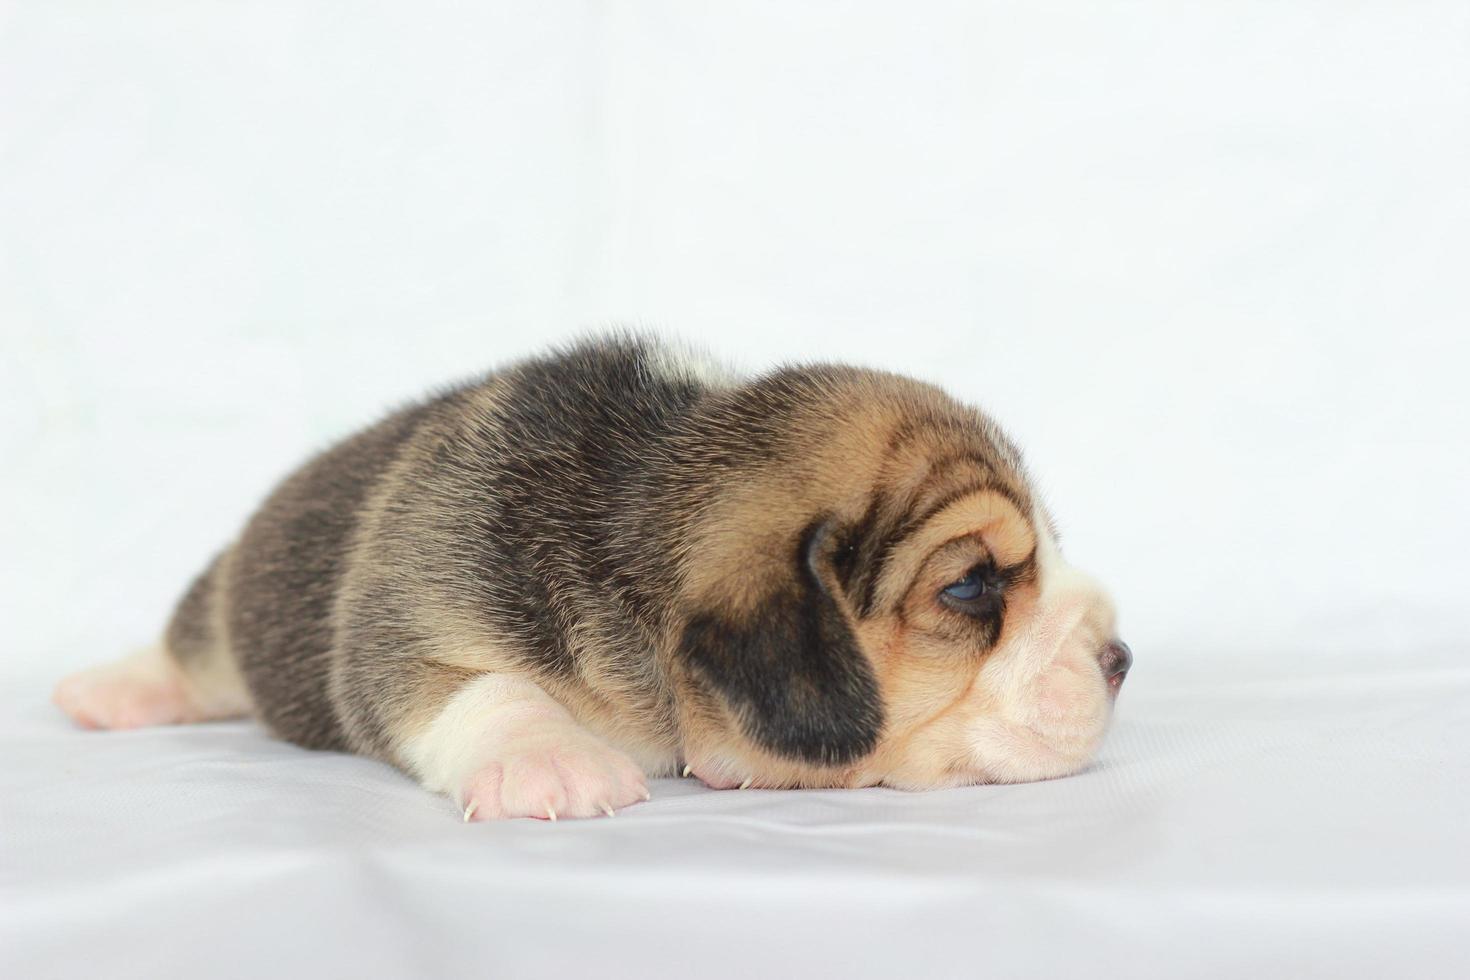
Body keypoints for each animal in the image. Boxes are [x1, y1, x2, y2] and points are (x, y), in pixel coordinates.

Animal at [54, 337, 1123, 822]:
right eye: (971, 588)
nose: (1120, 659)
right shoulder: (406, 620)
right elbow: (480, 688)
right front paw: (546, 758)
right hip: (225, 603)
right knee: (189, 648)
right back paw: (117, 688)